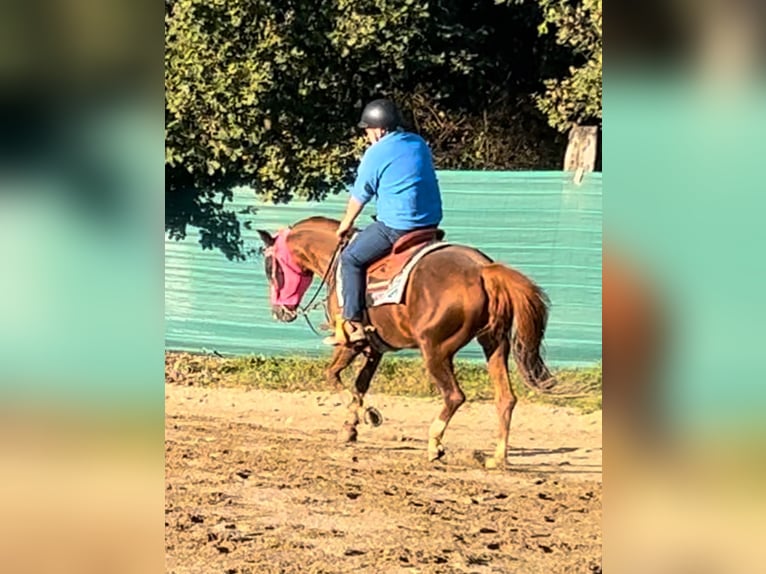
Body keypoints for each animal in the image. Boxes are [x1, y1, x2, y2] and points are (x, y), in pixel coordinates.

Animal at [257, 216, 556, 468]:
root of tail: (483, 270)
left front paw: (367, 415)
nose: (280, 312)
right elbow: (360, 385)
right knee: (505, 398)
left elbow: (332, 375)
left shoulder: (350, 344)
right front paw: (351, 426)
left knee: (454, 396)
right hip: (494, 343)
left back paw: (434, 445)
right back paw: (497, 457)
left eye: (271, 268)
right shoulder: (374, 347)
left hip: (435, 350)